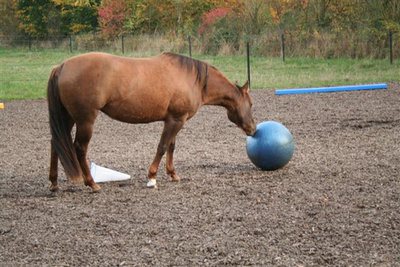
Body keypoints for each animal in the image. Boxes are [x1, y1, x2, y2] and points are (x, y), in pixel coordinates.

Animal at [47, 52, 256, 192]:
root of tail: (62, 66)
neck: (192, 79)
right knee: (79, 148)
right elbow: (162, 147)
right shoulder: (175, 120)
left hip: (68, 118)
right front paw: (152, 177)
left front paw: (172, 174)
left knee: (56, 143)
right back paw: (92, 183)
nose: (253, 129)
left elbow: (171, 147)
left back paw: (54, 183)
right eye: (252, 103)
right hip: (85, 120)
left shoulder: (174, 119)